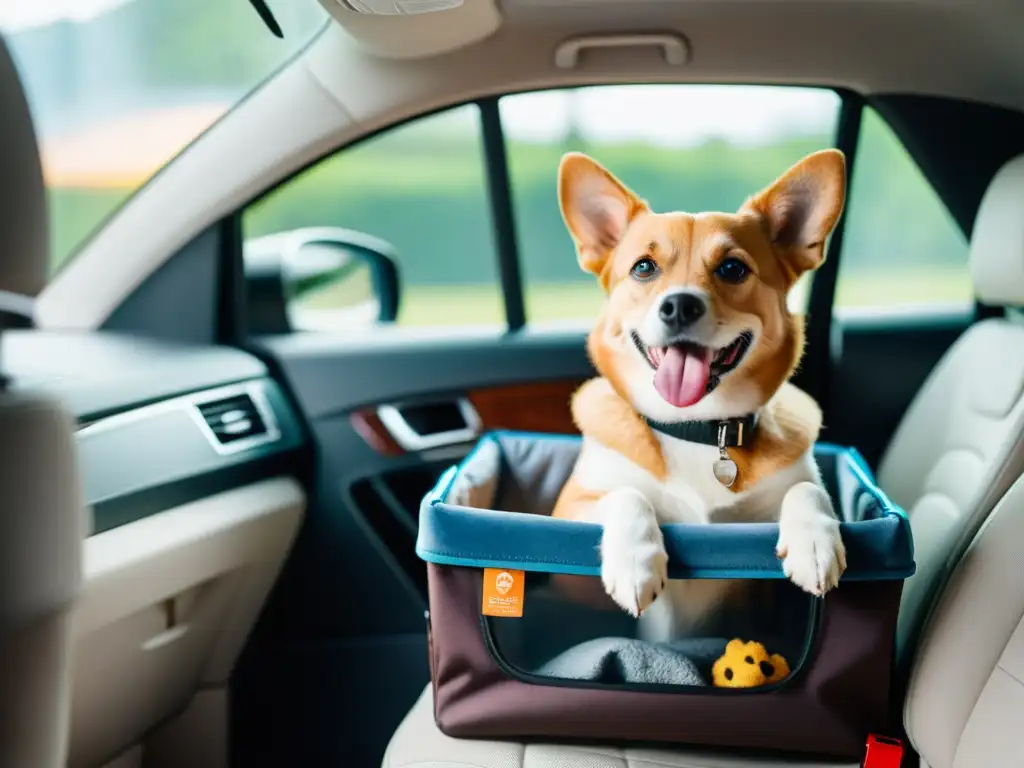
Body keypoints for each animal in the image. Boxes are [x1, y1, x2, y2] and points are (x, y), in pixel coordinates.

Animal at [552, 148, 847, 638]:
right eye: (643, 267)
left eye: (732, 268)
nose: (679, 305)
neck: (697, 428)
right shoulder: (567, 514)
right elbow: (626, 495)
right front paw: (636, 560)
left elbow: (807, 489)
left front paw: (814, 541)